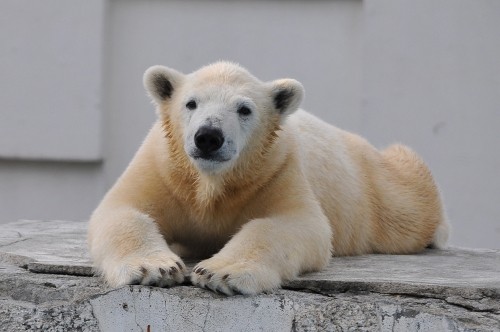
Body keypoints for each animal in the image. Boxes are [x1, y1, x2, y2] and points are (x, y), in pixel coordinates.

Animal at [87, 61, 450, 294]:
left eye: (244, 109)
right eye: (191, 103)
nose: (208, 137)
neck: (211, 182)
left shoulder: (275, 171)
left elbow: (295, 224)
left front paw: (218, 272)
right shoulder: (164, 170)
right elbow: (123, 211)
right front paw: (157, 268)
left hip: (378, 192)